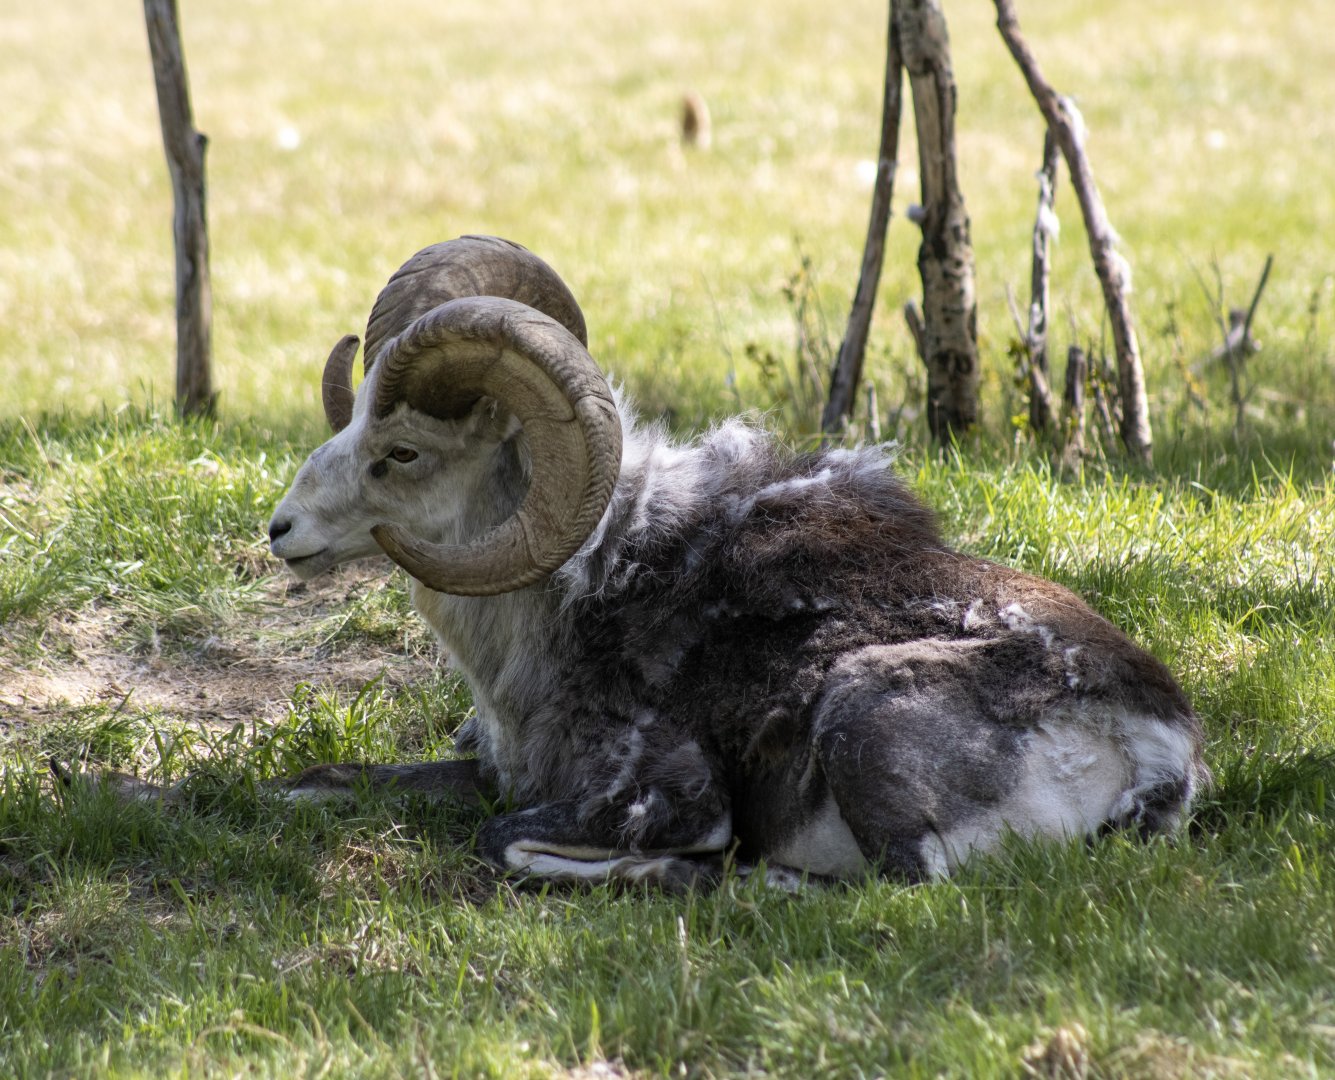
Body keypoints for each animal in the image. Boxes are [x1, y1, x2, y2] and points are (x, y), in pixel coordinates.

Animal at [263, 234, 1207, 886]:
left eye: (402, 453)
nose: (281, 531)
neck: (585, 592)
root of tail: (1154, 748)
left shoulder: (656, 795)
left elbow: (510, 841)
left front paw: (681, 865)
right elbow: (318, 781)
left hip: (857, 712)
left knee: (903, 881)